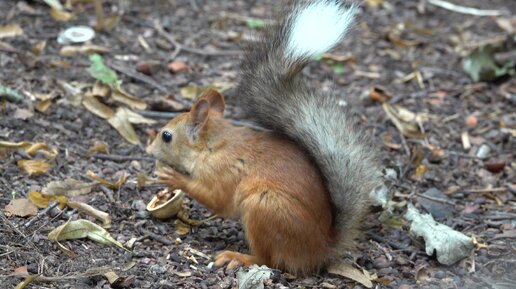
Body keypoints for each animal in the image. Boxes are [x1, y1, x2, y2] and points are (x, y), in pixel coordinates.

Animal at [147, 0, 380, 274]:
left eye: (166, 136)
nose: (148, 150)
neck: (214, 146)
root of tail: (320, 249)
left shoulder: (223, 173)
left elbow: (216, 199)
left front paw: (173, 177)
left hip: (264, 207)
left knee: (268, 259)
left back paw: (239, 257)